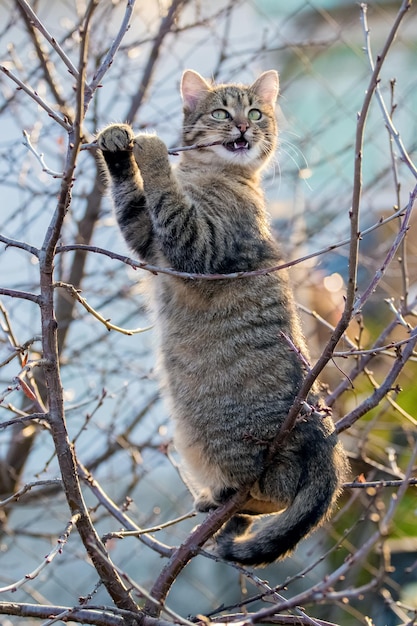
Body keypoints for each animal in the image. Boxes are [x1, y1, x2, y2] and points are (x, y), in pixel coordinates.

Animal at [97, 69, 348, 564]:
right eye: (220, 112)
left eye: (255, 112)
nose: (243, 127)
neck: (208, 174)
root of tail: (323, 436)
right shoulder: (149, 243)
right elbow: (133, 201)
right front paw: (118, 146)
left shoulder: (199, 249)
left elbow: (167, 195)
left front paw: (152, 150)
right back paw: (219, 503)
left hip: (233, 443)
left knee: (275, 492)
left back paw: (229, 502)